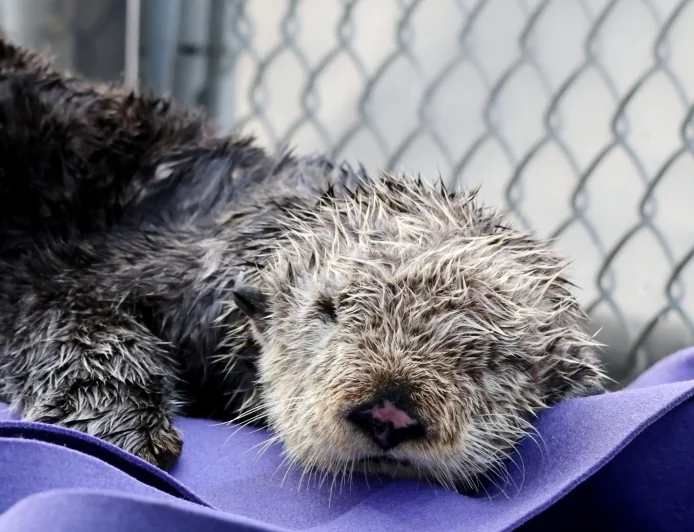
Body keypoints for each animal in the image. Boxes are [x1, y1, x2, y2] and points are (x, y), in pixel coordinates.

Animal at [0, 36, 605, 491]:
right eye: (327, 310)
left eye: (498, 357)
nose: (390, 411)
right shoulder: (135, 263)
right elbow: (68, 311)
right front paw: (127, 429)